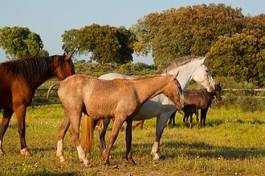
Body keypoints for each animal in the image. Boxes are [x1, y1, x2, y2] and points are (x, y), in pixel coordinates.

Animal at [55, 73, 184, 166]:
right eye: (178, 87)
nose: (182, 105)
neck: (135, 90)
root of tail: (62, 84)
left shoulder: (129, 119)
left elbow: (129, 138)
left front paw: (130, 160)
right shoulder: (119, 117)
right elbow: (113, 137)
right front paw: (106, 159)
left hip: (69, 113)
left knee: (62, 131)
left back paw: (61, 157)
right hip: (75, 112)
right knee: (75, 133)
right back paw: (84, 159)